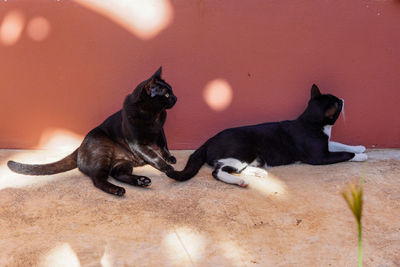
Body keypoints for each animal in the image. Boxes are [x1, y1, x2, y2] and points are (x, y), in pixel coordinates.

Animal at [8, 67, 177, 197]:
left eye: (172, 91)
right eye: (167, 94)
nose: (176, 98)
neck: (153, 115)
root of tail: (80, 146)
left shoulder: (160, 131)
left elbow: (163, 145)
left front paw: (170, 159)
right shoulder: (137, 143)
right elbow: (153, 156)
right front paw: (168, 168)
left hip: (122, 163)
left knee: (117, 174)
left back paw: (141, 181)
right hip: (103, 151)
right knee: (98, 179)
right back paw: (118, 190)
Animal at [167, 85, 368, 187]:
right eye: (337, 104)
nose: (342, 99)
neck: (312, 123)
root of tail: (208, 141)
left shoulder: (325, 143)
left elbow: (339, 143)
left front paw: (359, 147)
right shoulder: (319, 156)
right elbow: (343, 154)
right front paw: (361, 156)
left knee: (236, 167)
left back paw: (260, 172)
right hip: (244, 149)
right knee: (219, 171)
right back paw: (239, 181)